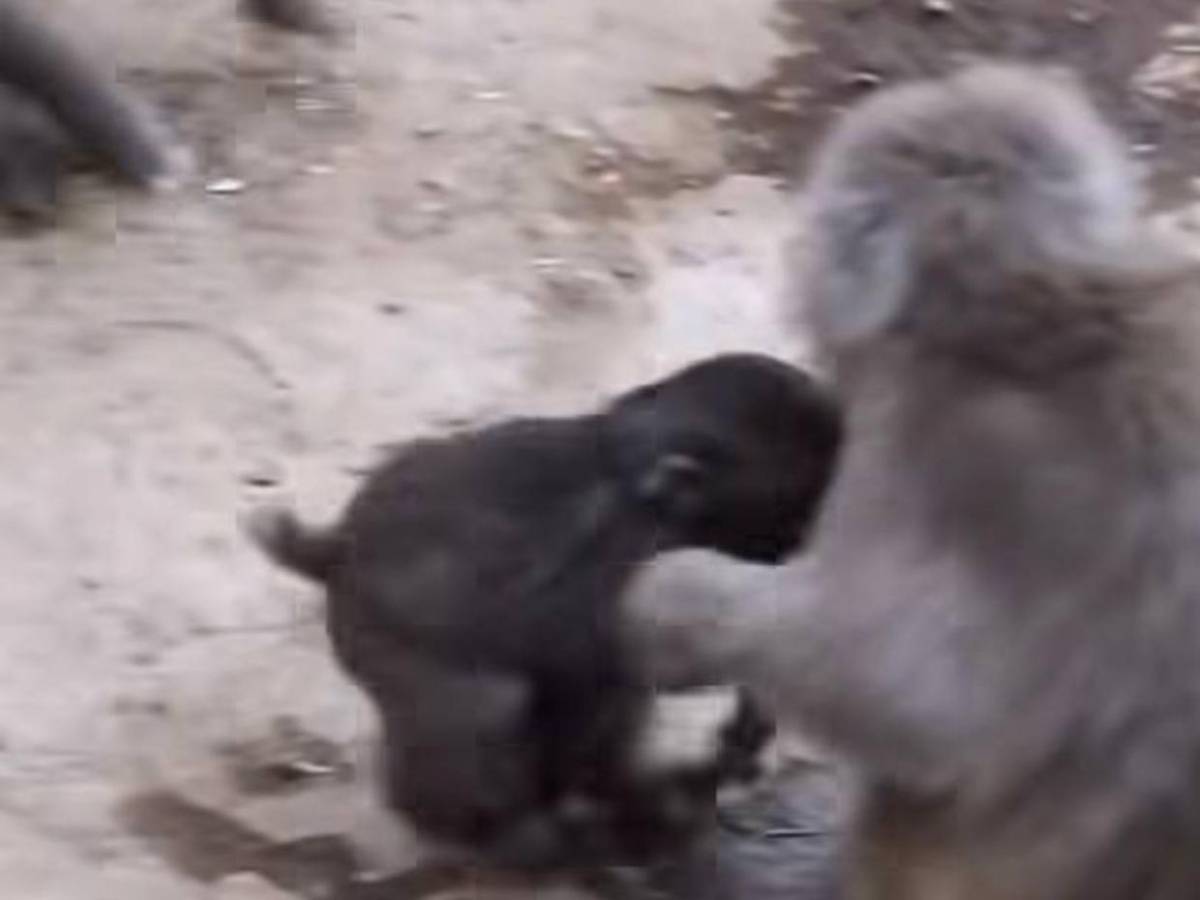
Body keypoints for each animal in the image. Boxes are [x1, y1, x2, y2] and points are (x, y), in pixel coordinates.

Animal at [247, 352, 842, 872]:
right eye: (790, 523)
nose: (792, 554)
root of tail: (332, 551)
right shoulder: (630, 551)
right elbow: (597, 671)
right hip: (371, 629)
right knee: (490, 702)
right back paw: (494, 832)